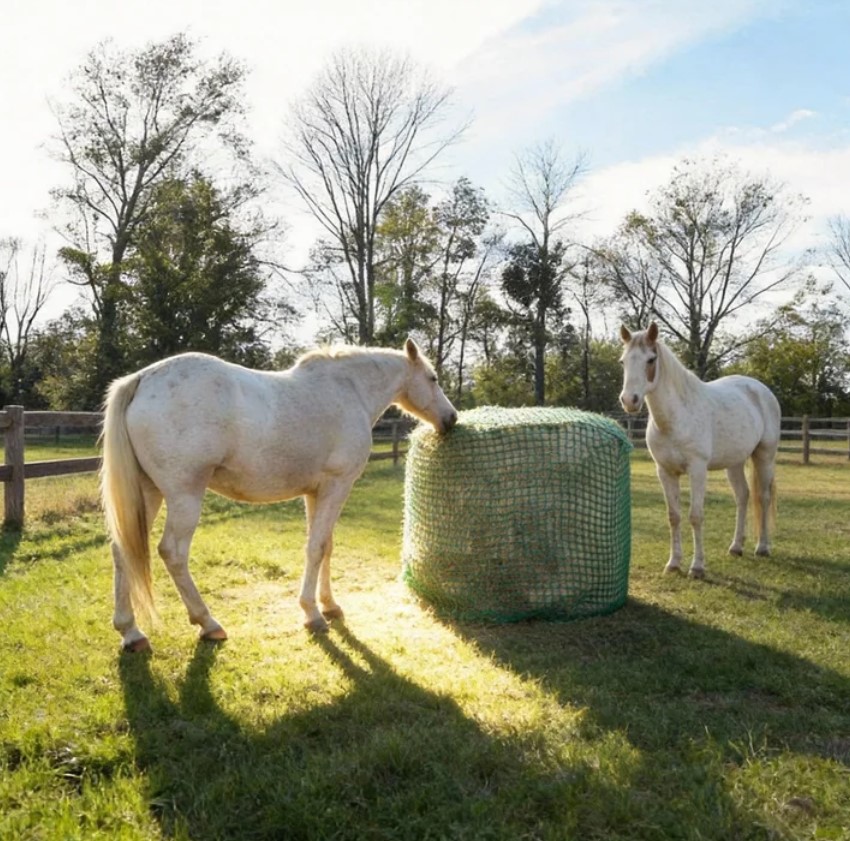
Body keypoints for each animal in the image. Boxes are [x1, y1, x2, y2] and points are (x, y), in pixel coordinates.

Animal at [101, 338, 458, 652]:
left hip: (148, 493)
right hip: (184, 495)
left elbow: (325, 546)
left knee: (122, 550)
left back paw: (131, 633)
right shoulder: (337, 485)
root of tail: (141, 379)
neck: (349, 390)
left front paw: (329, 605)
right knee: (172, 553)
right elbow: (316, 548)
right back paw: (208, 623)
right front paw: (312, 614)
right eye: (433, 378)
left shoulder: (315, 493)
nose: (451, 418)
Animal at [619, 323, 780, 578]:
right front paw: (673, 563)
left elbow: (695, 516)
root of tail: (761, 390)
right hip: (734, 463)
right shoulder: (665, 472)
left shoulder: (697, 470)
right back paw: (736, 547)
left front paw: (697, 567)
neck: (675, 418)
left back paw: (762, 547)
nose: (629, 401)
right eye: (623, 361)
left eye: (651, 359)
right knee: (743, 496)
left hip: (764, 456)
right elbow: (674, 517)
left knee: (762, 498)